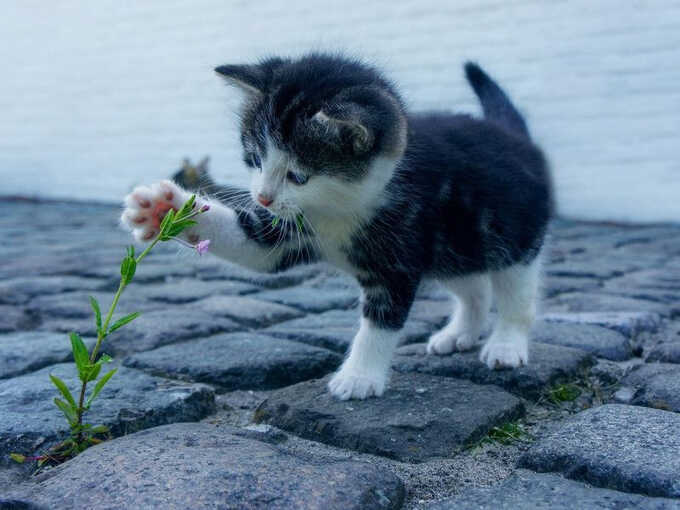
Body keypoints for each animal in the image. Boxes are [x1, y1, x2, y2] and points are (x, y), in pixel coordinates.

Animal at [121, 52, 552, 402]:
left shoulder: (399, 254)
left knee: (515, 294)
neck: (340, 207)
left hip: (512, 236)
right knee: (473, 287)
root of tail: (516, 137)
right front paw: (164, 208)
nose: (262, 197)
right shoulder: (289, 230)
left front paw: (359, 377)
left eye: (298, 175)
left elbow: (380, 322)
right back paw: (460, 333)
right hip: (454, 247)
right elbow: (253, 245)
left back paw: (506, 344)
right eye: (255, 158)